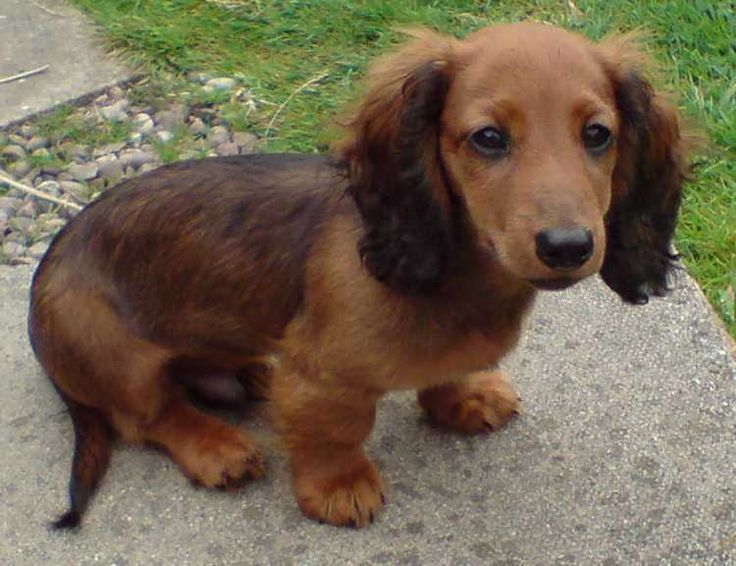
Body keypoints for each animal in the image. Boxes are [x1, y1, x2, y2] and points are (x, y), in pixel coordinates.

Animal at [28, 21, 688, 528]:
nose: (568, 246)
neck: (455, 276)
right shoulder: (325, 377)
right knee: (147, 416)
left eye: (598, 134)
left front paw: (462, 397)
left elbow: (445, 375)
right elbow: (339, 428)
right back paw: (216, 444)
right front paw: (338, 486)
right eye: (488, 138)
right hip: (110, 349)